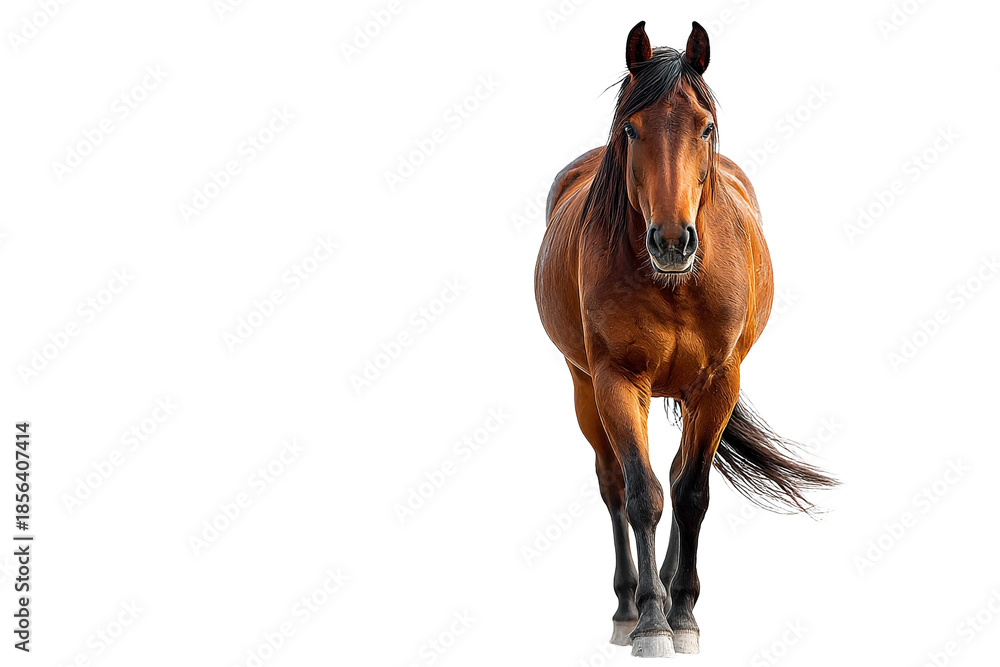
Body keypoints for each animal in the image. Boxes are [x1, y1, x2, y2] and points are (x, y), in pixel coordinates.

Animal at [534, 21, 837, 658]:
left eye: (706, 126)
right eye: (631, 128)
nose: (672, 241)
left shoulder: (718, 382)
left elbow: (690, 492)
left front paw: (684, 614)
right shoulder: (617, 380)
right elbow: (641, 494)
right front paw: (651, 622)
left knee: (676, 475)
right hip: (584, 386)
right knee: (615, 485)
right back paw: (628, 607)